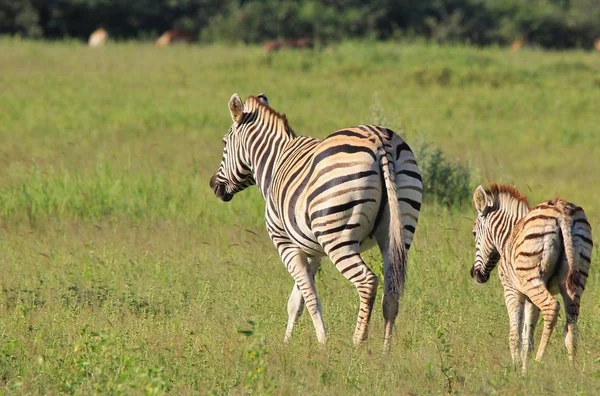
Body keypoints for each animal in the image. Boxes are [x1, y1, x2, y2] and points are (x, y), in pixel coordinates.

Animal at [211, 93, 422, 350]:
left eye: (224, 143)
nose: (214, 186)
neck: (274, 163)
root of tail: (378, 139)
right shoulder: (311, 250)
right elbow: (296, 302)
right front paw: (287, 343)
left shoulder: (286, 244)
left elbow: (310, 298)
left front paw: (323, 343)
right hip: (398, 232)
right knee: (392, 290)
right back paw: (385, 352)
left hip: (337, 238)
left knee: (367, 282)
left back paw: (357, 344)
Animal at [472, 183, 592, 372]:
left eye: (474, 233)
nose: (476, 275)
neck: (508, 236)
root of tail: (562, 211)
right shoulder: (530, 299)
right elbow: (527, 338)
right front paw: (524, 370)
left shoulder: (512, 291)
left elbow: (515, 334)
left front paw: (516, 369)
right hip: (576, 278)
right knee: (571, 324)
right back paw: (572, 368)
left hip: (533, 278)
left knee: (551, 308)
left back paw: (539, 361)